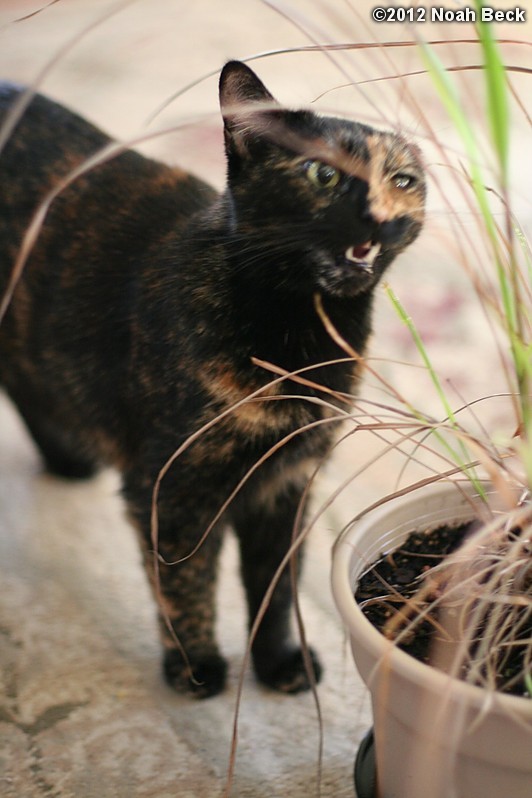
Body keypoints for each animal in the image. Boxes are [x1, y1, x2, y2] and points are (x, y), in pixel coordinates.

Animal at [0, 62, 424, 700]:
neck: (298, 342)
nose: (378, 213)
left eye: (402, 180)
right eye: (322, 173)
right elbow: (186, 585)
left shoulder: (288, 481)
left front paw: (279, 662)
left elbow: (277, 587)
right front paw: (194, 667)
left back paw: (68, 460)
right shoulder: (175, 490)